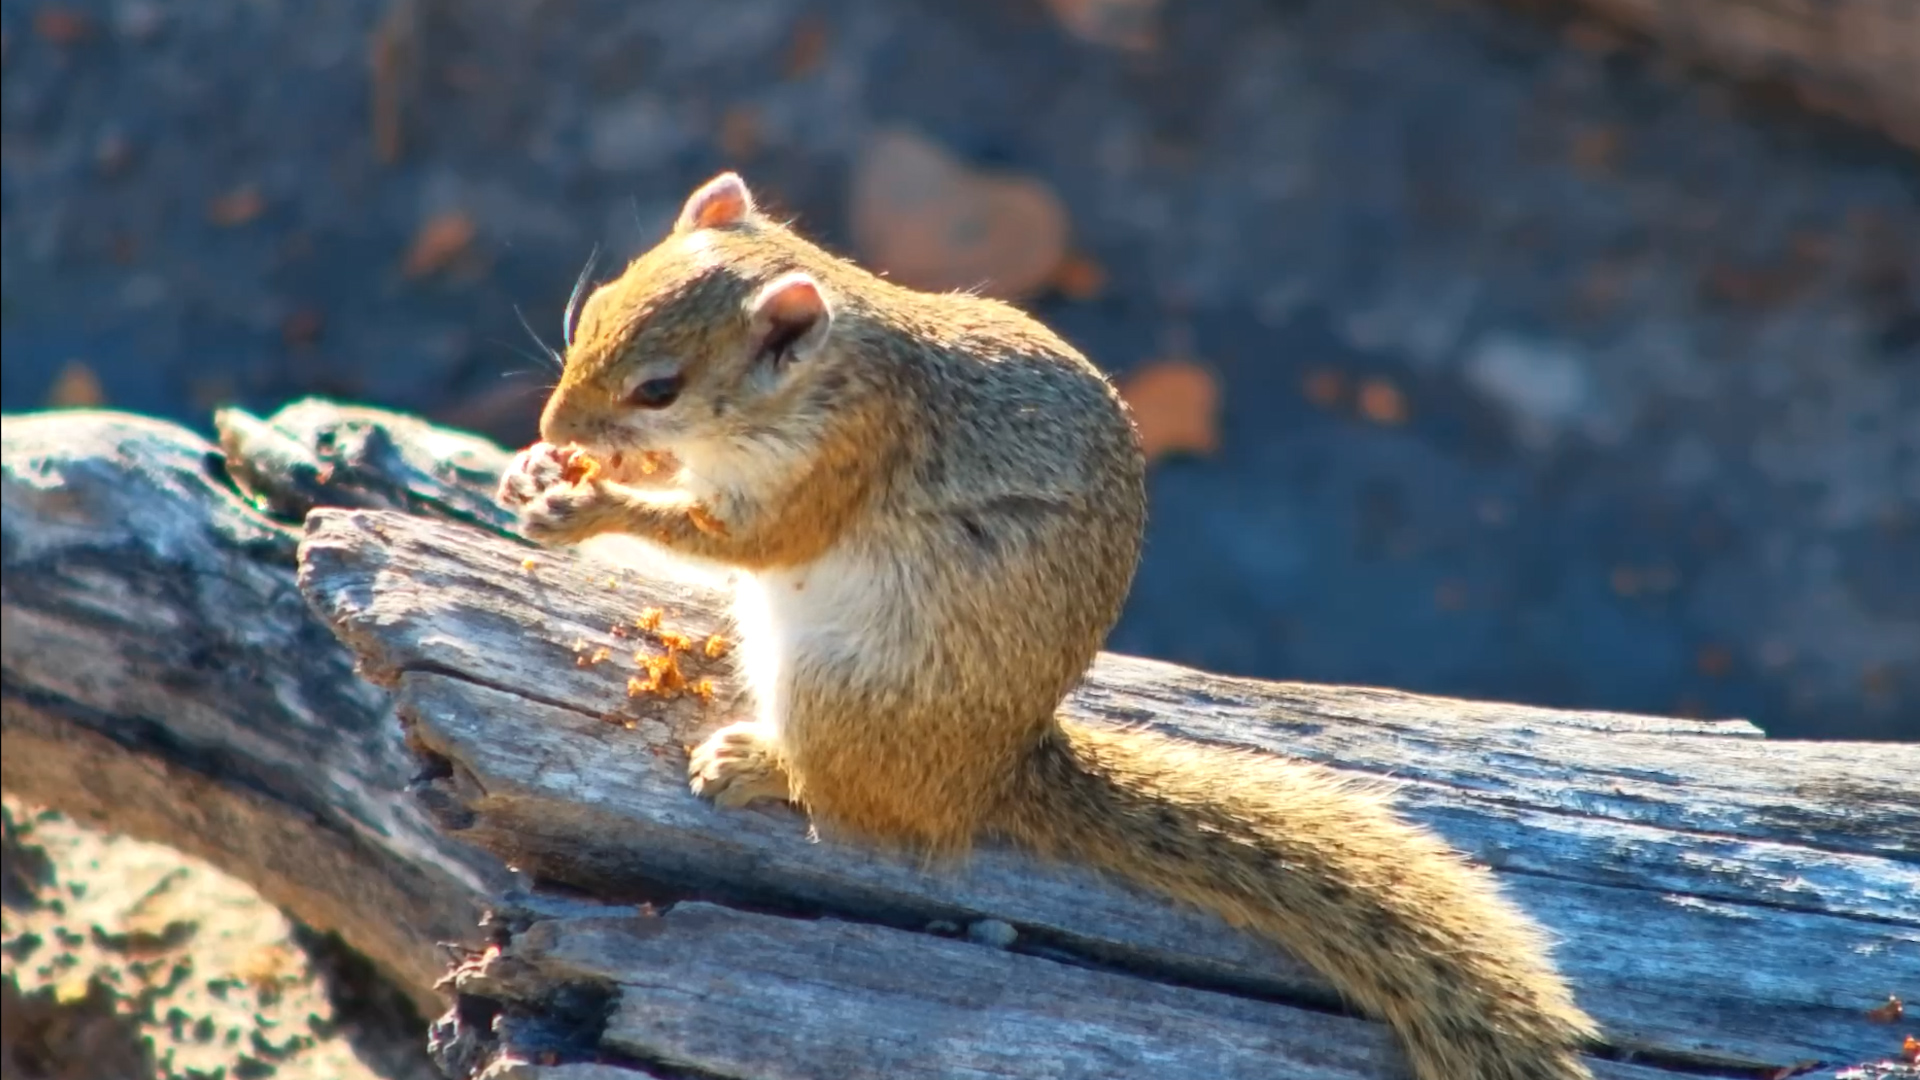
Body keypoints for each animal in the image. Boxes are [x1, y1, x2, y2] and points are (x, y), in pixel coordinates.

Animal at [498, 171, 1600, 1080]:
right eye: (598, 304)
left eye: (661, 387)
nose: (554, 427)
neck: (829, 377)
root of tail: (993, 773)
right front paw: (539, 471)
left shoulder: (834, 465)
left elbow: (743, 539)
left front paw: (588, 506)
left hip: (834, 691)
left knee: (866, 814)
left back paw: (758, 764)